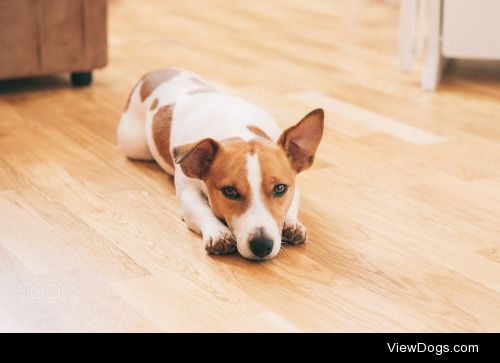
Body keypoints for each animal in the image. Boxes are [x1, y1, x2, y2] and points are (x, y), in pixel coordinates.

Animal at [119, 68, 326, 260]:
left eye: (280, 188)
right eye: (230, 191)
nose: (262, 245)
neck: (237, 129)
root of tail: (151, 74)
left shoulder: (294, 186)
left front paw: (292, 224)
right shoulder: (188, 193)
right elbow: (202, 209)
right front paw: (218, 233)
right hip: (135, 144)